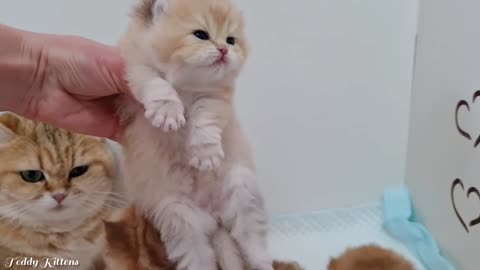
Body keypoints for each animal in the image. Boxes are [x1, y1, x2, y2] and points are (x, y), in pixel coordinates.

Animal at [117, 0, 272, 270]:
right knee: (199, 258)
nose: (223, 50)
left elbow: (205, 122)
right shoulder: (136, 69)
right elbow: (158, 84)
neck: (186, 86)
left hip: (241, 189)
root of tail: (214, 216)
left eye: (231, 39)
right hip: (180, 219)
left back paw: (263, 264)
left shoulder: (215, 97)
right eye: (201, 35)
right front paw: (167, 114)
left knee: (252, 242)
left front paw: (205, 155)